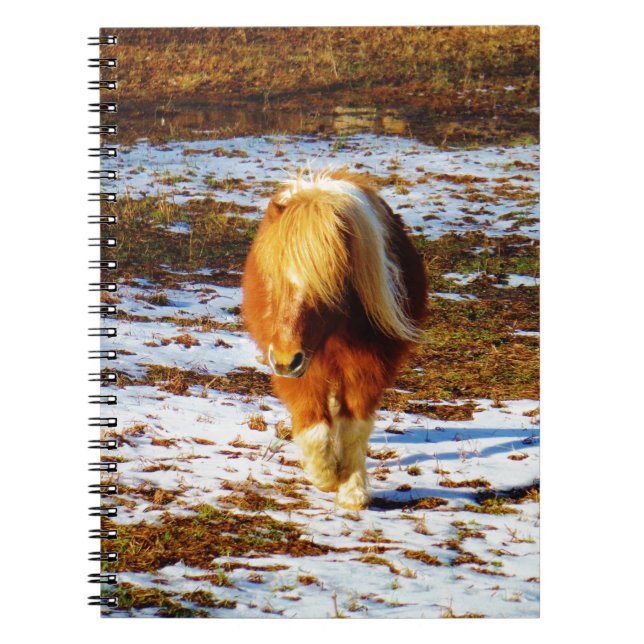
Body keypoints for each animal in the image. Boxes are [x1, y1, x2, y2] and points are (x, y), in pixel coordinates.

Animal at [241, 168, 427, 509]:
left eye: (329, 285)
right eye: (272, 279)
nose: (286, 359)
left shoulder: (368, 369)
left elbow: (353, 428)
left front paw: (352, 490)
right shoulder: (300, 371)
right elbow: (314, 425)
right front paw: (325, 475)